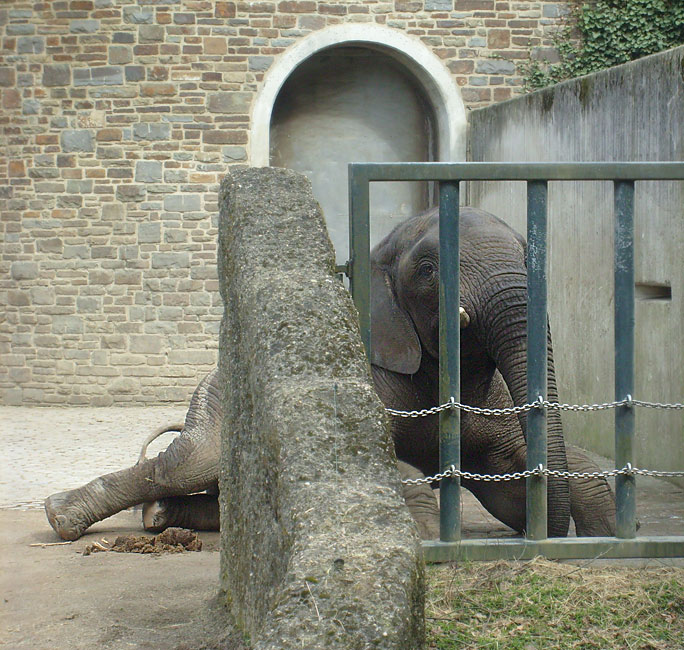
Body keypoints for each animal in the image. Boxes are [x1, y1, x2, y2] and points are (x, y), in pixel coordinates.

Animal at [45, 205, 616, 540]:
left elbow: (514, 483)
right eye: (428, 270)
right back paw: (64, 516)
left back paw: (160, 517)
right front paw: (421, 526)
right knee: (188, 463)